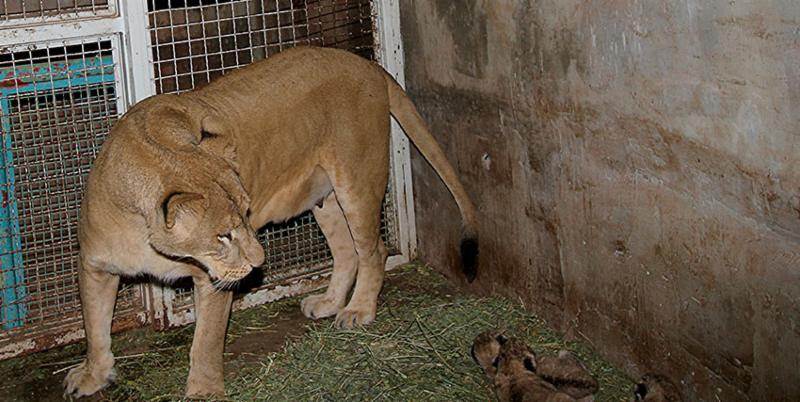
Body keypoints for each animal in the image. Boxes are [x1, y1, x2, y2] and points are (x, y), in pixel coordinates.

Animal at [63, 46, 479, 398]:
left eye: (248, 214)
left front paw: (203, 391)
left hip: (357, 182)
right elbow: (95, 328)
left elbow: (206, 342)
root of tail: (366, 63)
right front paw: (93, 376)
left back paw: (358, 310)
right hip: (325, 200)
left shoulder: (213, 280)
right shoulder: (94, 265)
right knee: (347, 252)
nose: (259, 264)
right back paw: (328, 302)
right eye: (223, 235)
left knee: (373, 250)